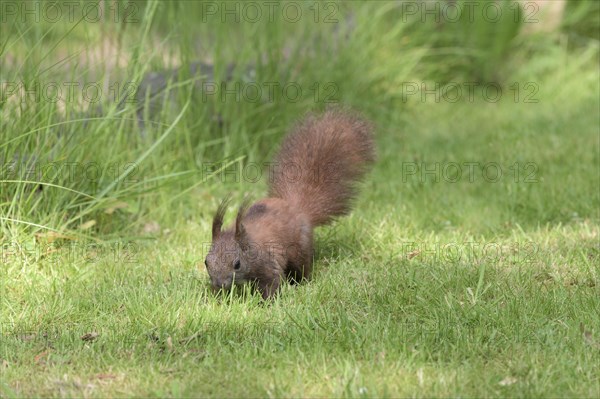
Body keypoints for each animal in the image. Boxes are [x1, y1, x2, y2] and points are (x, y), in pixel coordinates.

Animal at [206, 108, 376, 298]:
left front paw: (266, 302)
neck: (249, 243)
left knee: (302, 269)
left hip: (300, 249)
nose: (219, 283)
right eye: (206, 262)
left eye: (237, 264)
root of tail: (296, 207)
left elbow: (271, 283)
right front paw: (217, 297)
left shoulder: (268, 263)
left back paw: (300, 283)